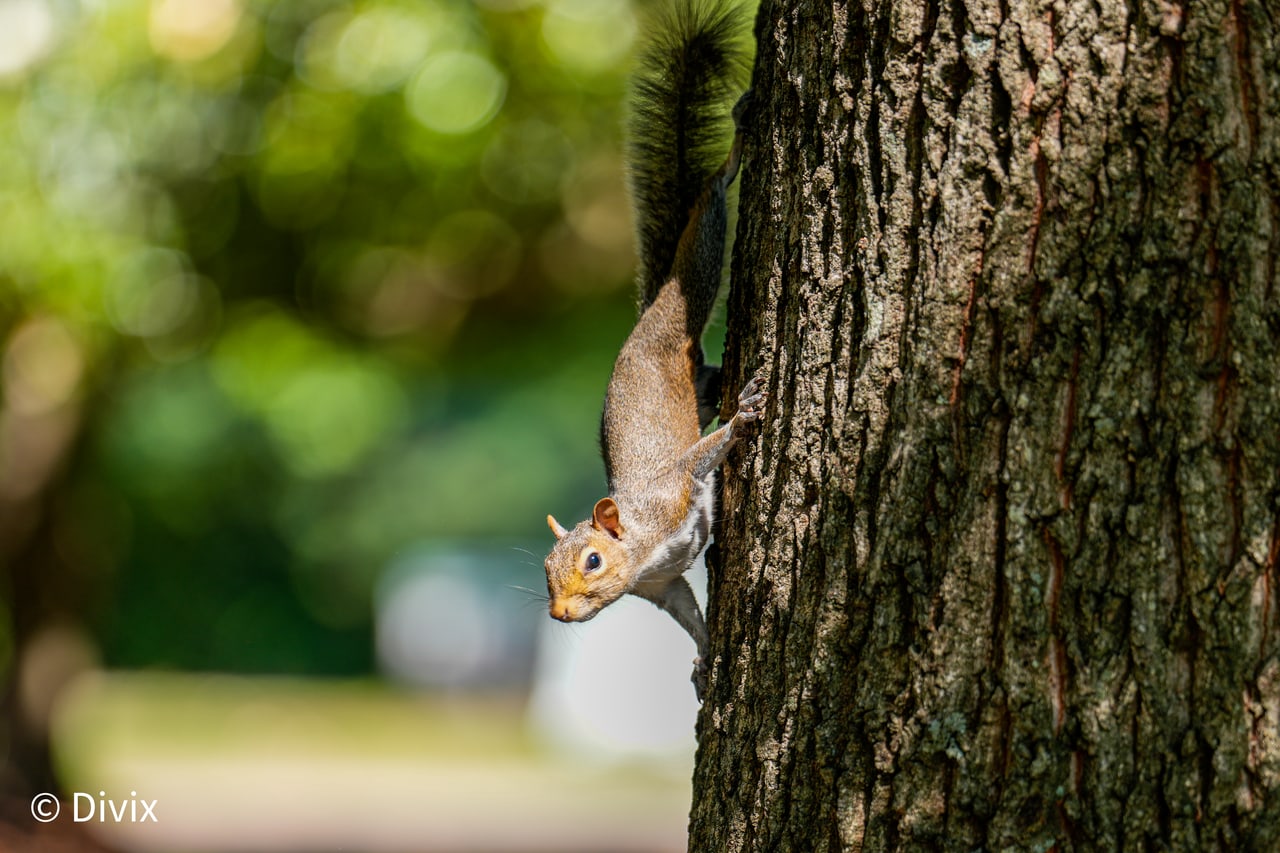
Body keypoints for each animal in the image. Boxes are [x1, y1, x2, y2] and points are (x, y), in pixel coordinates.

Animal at [543, 0, 762, 701]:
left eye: (592, 559)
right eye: (546, 570)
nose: (559, 613)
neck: (639, 546)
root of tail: (643, 326)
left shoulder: (673, 492)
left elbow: (700, 458)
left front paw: (746, 418)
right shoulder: (663, 588)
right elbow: (690, 616)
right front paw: (704, 661)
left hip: (688, 292)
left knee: (709, 208)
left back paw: (738, 146)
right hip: (697, 378)